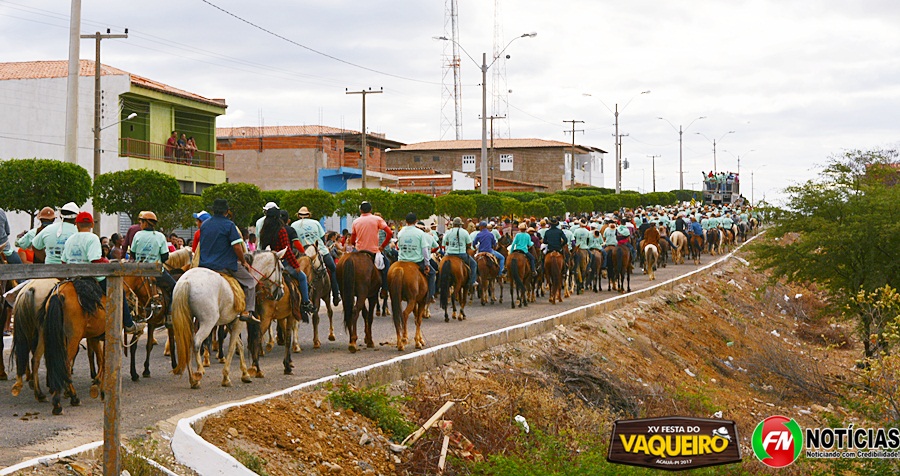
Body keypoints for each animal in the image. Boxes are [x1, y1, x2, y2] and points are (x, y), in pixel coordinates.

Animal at [171, 249, 284, 386]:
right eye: (282, 269)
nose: (281, 293)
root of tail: (187, 281)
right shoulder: (239, 322)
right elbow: (232, 346)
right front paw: (226, 377)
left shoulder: (231, 322)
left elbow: (239, 344)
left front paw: (245, 374)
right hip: (208, 323)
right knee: (196, 342)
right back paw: (198, 372)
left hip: (187, 321)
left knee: (187, 343)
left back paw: (192, 379)